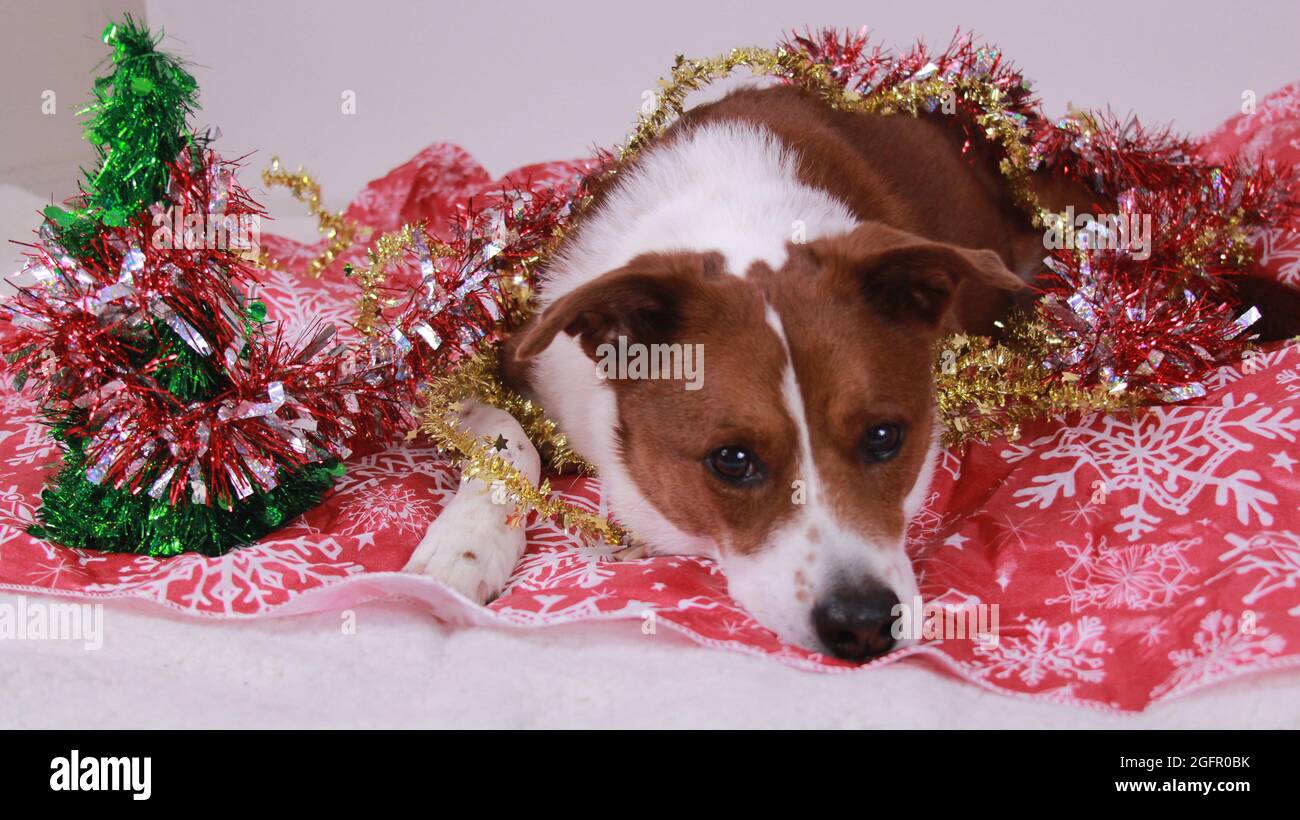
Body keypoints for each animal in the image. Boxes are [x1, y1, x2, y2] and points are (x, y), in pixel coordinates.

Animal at [403, 85, 1289, 660]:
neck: (736, 221)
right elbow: (501, 436)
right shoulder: (516, 355)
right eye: (732, 460)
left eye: (886, 437)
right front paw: (462, 549)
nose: (862, 624)